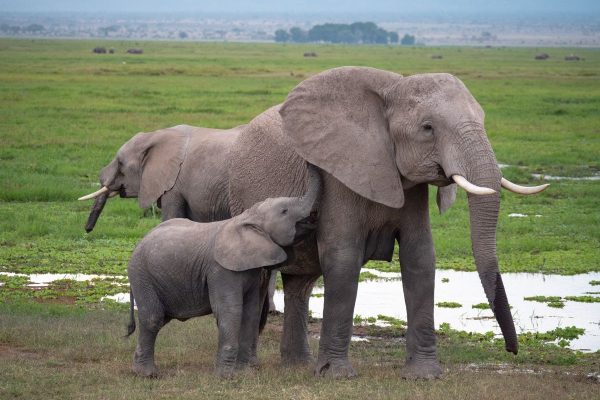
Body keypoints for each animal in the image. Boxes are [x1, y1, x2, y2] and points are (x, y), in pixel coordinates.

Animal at [125, 164, 322, 376]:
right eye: (284, 211)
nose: (310, 163)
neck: (248, 217)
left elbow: (250, 310)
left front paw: (244, 373)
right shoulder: (220, 270)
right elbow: (230, 310)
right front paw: (225, 376)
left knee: (161, 318)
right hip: (141, 274)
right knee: (153, 318)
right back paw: (148, 374)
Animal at [226, 68, 548, 378]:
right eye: (427, 128)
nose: (512, 350)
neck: (393, 88)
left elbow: (419, 256)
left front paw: (423, 376)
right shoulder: (340, 173)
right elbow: (343, 258)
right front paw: (337, 376)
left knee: (300, 283)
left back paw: (298, 366)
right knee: (261, 280)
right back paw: (251, 367)